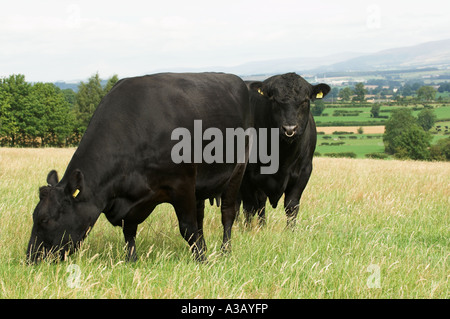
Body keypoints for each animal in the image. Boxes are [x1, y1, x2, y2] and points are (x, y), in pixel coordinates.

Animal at [26, 73, 251, 264]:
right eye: (34, 216)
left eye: (45, 219)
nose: (30, 259)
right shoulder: (128, 198)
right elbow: (129, 231)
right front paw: (131, 260)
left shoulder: (182, 183)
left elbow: (187, 228)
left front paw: (201, 261)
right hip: (201, 185)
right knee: (201, 218)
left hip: (238, 169)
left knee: (227, 214)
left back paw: (224, 251)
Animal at [239, 73, 330, 228]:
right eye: (275, 100)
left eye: (305, 100)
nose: (289, 129)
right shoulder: (247, 175)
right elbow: (249, 207)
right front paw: (247, 230)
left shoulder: (304, 171)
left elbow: (291, 206)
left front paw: (290, 230)